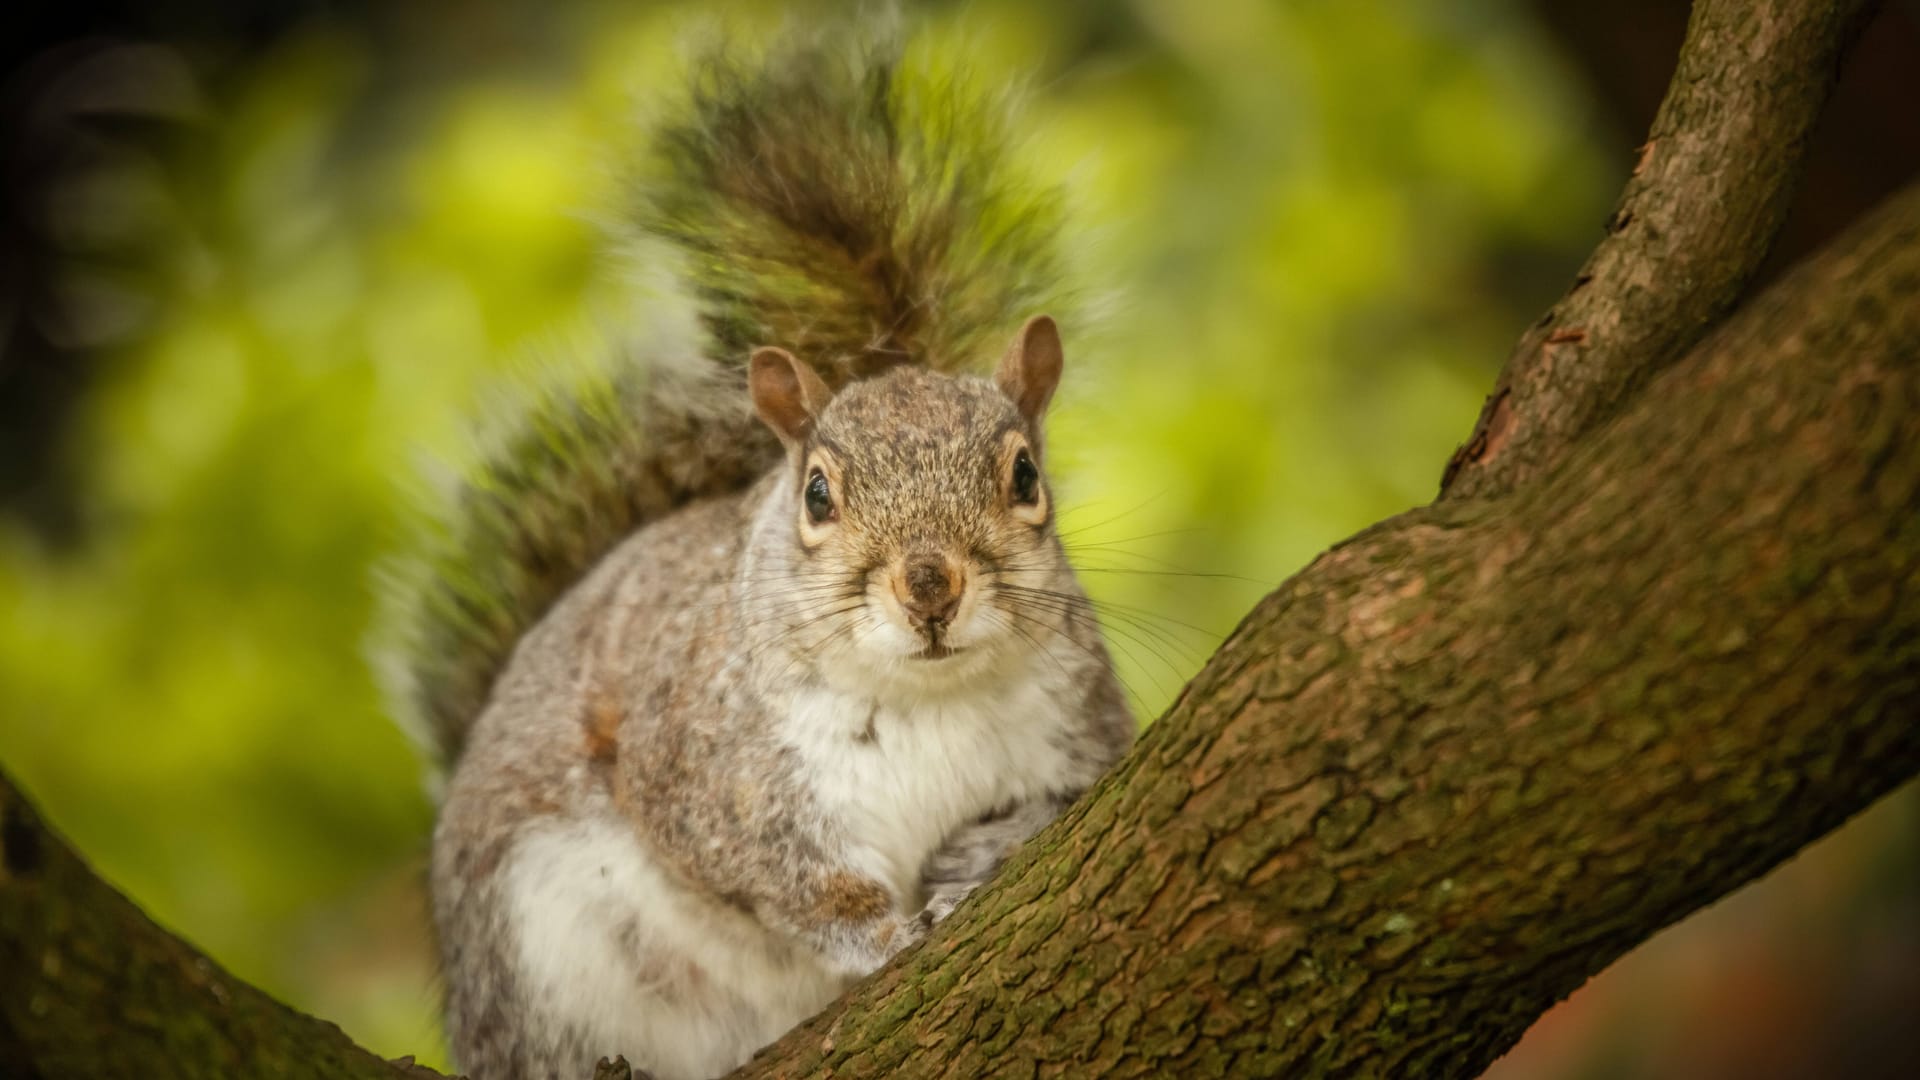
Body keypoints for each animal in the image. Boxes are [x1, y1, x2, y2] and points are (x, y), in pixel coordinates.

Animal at [385, 33, 1136, 1076]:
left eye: (1026, 476)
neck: (927, 699)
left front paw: (988, 849)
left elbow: (1072, 794)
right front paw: (885, 932)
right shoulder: (711, 770)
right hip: (534, 968)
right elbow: (788, 883)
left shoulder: (1085, 727)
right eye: (817, 493)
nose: (930, 585)